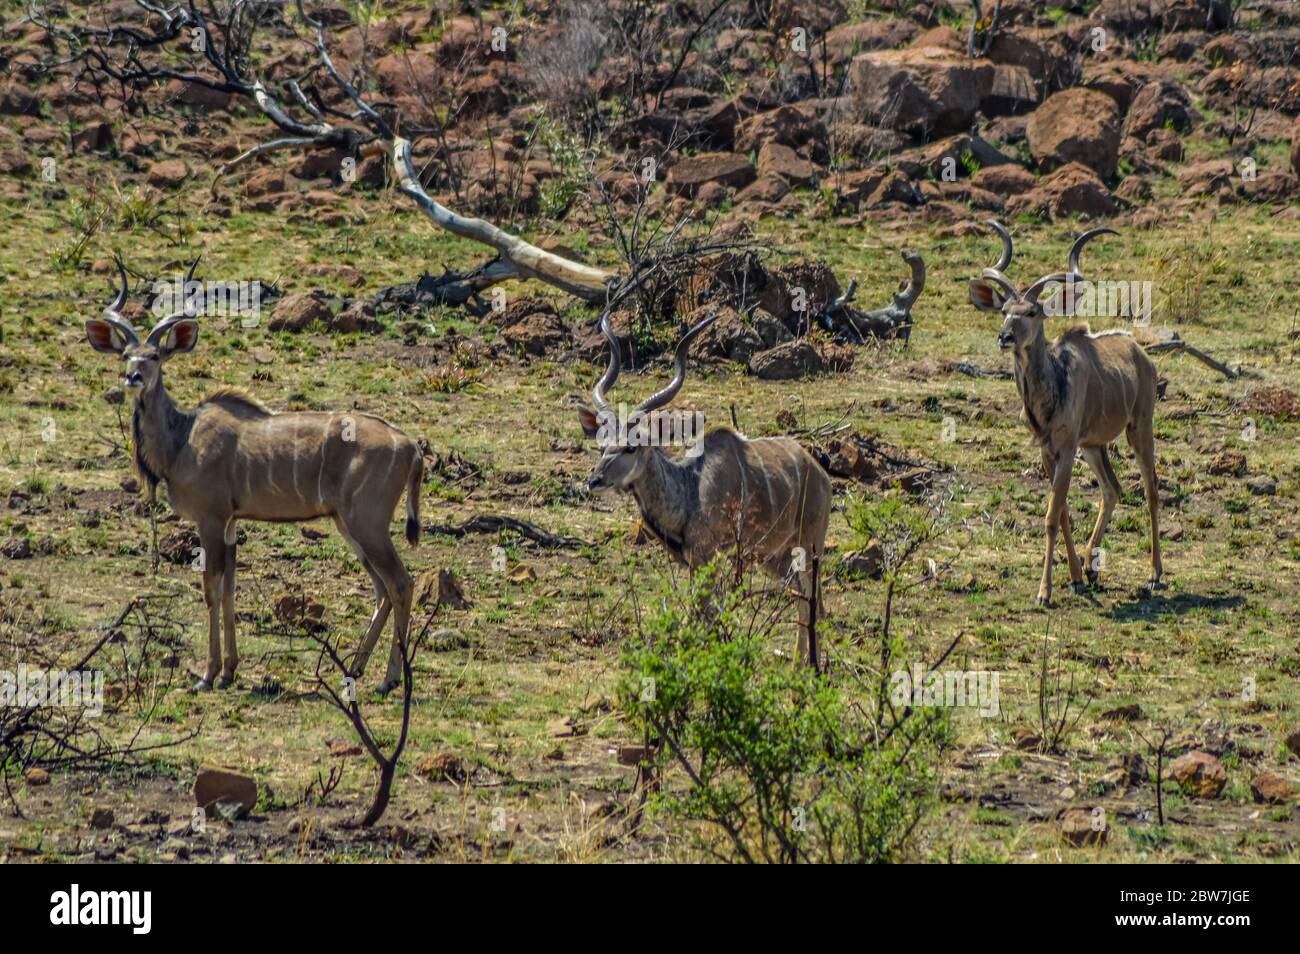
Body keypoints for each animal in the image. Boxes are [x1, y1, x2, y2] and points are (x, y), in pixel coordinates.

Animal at [85, 261, 421, 696]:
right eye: (126, 355)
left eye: (155, 355)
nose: (134, 377)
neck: (182, 438)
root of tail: (409, 445)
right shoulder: (230, 523)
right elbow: (229, 590)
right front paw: (229, 671)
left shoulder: (210, 520)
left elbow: (211, 590)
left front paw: (207, 676)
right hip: (348, 525)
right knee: (382, 589)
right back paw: (354, 669)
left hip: (368, 523)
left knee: (401, 583)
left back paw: (389, 679)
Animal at [579, 311, 832, 665]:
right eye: (602, 446)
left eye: (631, 447)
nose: (596, 480)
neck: (688, 492)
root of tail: (820, 473)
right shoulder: (694, 563)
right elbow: (706, 615)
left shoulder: (708, 558)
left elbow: (699, 617)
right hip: (772, 556)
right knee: (800, 596)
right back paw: (799, 667)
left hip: (810, 545)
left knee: (814, 602)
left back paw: (812, 668)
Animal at [972, 223, 1164, 605]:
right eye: (1004, 311)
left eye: (1032, 312)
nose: (1004, 337)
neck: (1051, 388)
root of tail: (1141, 354)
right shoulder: (1049, 451)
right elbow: (1061, 513)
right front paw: (1075, 578)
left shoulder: (1067, 447)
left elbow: (1050, 516)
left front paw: (1044, 592)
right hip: (1094, 446)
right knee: (1112, 488)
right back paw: (1091, 566)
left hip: (1139, 428)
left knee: (1151, 490)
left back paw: (1154, 574)